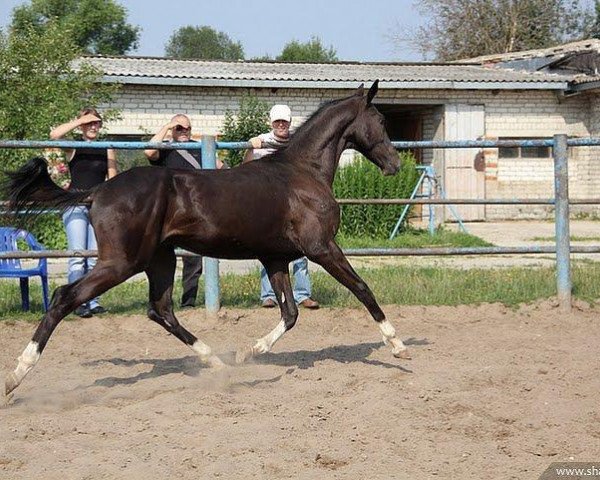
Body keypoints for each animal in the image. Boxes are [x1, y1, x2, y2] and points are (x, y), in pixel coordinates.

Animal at [2, 81, 410, 398]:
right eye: (381, 120)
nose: (395, 165)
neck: (302, 172)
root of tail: (98, 191)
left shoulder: (275, 258)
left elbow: (290, 314)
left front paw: (249, 353)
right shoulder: (321, 248)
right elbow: (362, 289)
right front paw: (398, 347)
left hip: (160, 259)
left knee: (160, 309)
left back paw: (217, 362)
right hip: (122, 261)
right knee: (64, 297)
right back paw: (17, 375)